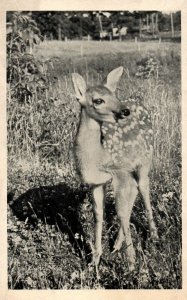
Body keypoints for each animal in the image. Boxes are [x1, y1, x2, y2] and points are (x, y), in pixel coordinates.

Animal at [72, 67, 158, 270]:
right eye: (98, 100)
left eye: (114, 95)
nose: (124, 111)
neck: (97, 157)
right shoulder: (95, 182)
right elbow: (98, 214)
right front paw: (94, 259)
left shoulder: (120, 172)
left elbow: (120, 211)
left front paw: (132, 263)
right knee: (134, 193)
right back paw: (118, 243)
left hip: (145, 160)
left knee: (143, 188)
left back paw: (153, 236)